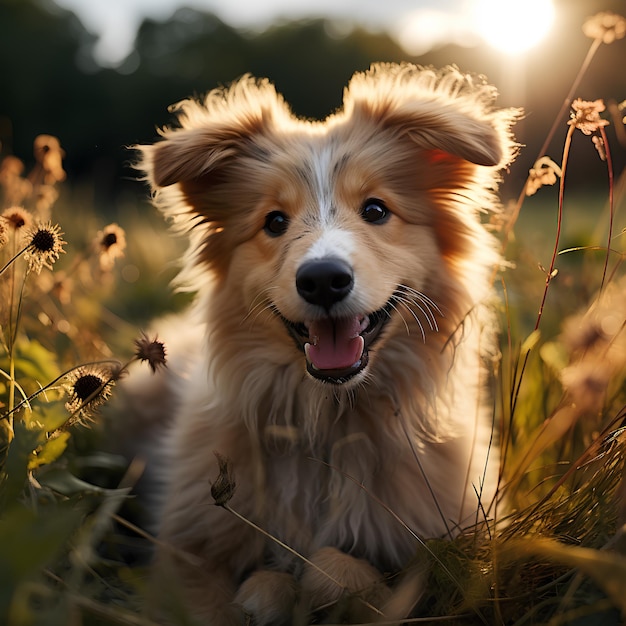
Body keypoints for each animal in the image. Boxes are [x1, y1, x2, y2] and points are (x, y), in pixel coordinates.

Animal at [130, 62, 516, 620]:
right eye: (274, 221)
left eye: (376, 210)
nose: (322, 280)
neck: (331, 420)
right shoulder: (185, 560)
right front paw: (267, 592)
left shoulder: (462, 554)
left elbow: (344, 570)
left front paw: (310, 582)